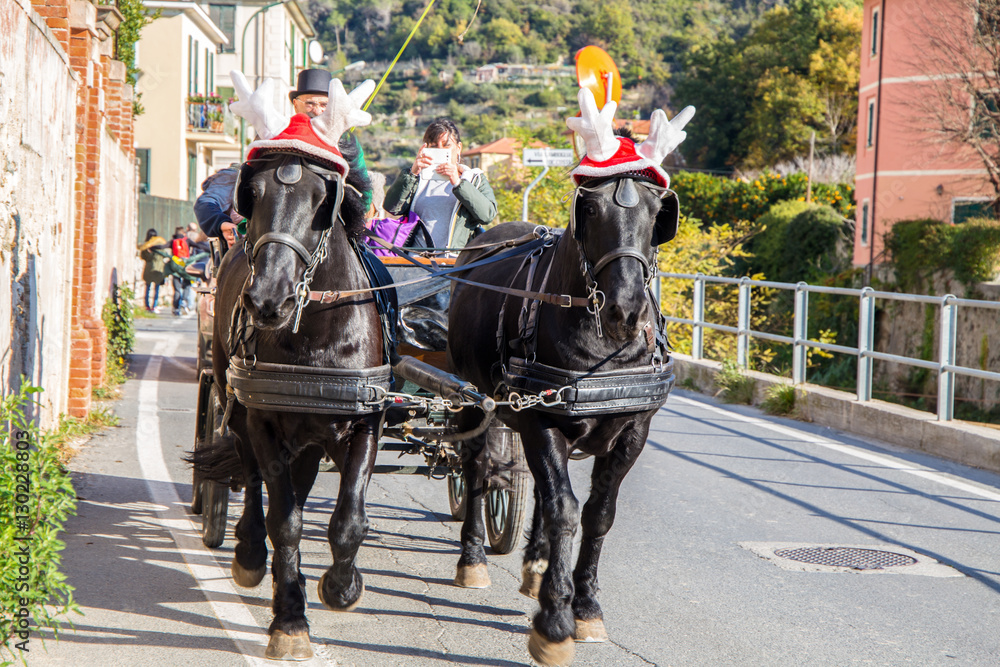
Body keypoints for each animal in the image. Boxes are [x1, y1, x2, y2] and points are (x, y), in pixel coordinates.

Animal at [191, 142, 386, 664]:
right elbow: (285, 522)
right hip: (234, 403)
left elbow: (348, 519)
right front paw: (290, 622)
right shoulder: (262, 421)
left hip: (311, 437)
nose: (267, 301)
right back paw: (250, 553)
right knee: (253, 477)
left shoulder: (366, 421)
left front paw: (341, 587)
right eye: (253, 194)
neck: (315, 334)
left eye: (323, 201)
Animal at [452, 164, 680, 664]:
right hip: (472, 399)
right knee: (477, 467)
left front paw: (587, 606)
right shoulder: (541, 422)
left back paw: (536, 565)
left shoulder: (633, 431)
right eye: (590, 209)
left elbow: (596, 514)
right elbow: (565, 511)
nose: (626, 310)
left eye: (656, 211)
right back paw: (473, 559)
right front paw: (555, 621)